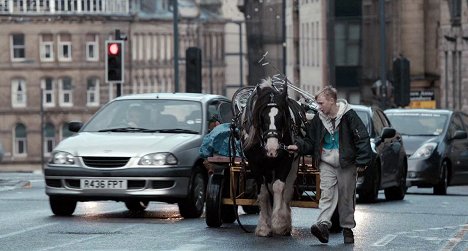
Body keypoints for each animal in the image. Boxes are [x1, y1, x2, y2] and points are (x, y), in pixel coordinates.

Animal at [238, 77, 308, 236]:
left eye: (282, 117)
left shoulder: (286, 161)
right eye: (262, 117)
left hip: (292, 166)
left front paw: (279, 222)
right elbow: (263, 193)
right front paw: (264, 226)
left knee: (287, 189)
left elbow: (278, 187)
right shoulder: (255, 165)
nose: (272, 148)